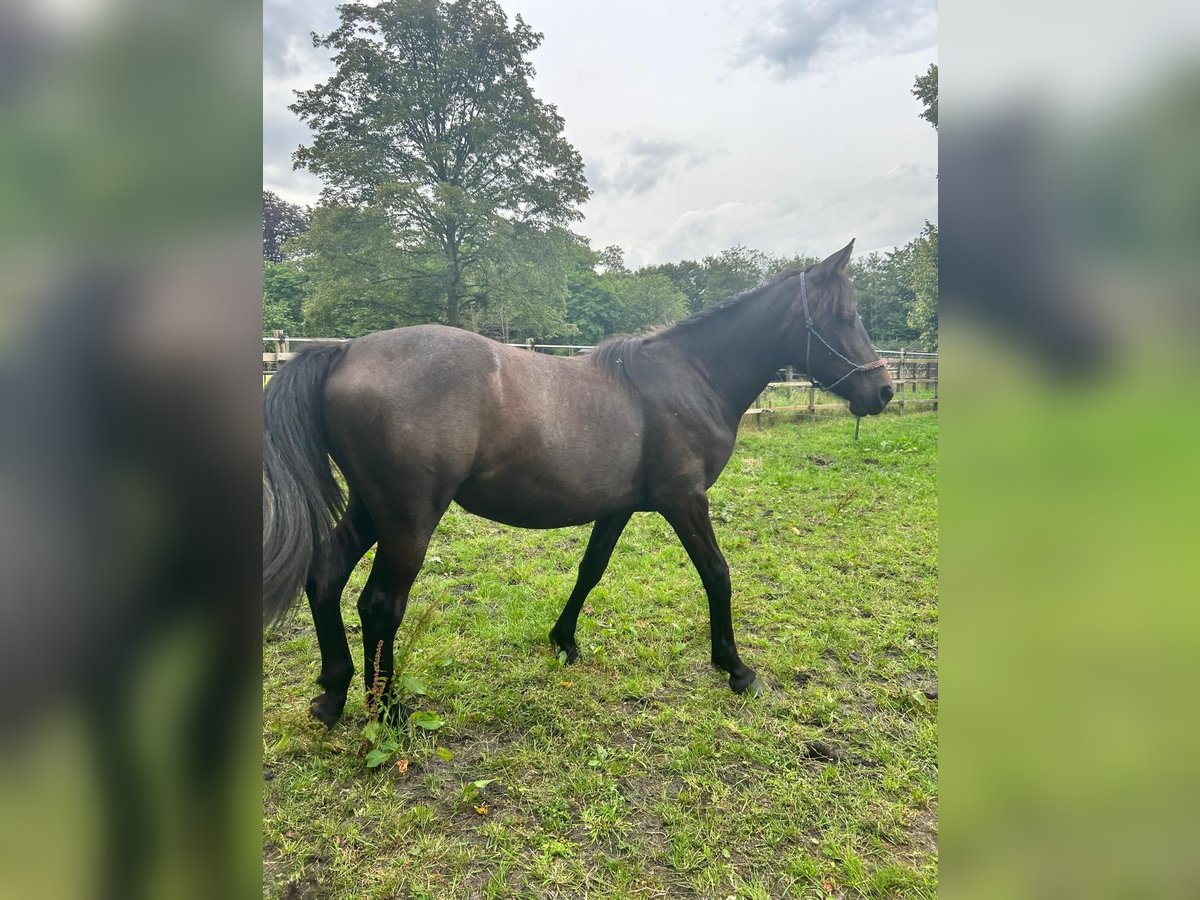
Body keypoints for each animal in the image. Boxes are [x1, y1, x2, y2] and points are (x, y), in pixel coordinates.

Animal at [267, 240, 897, 724]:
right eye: (845, 317)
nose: (884, 391)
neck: (691, 377)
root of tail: (345, 352)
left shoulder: (618, 506)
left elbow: (590, 570)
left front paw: (563, 640)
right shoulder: (684, 500)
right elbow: (717, 576)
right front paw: (736, 668)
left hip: (372, 509)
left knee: (325, 577)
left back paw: (333, 693)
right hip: (409, 519)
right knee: (379, 605)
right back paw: (386, 709)